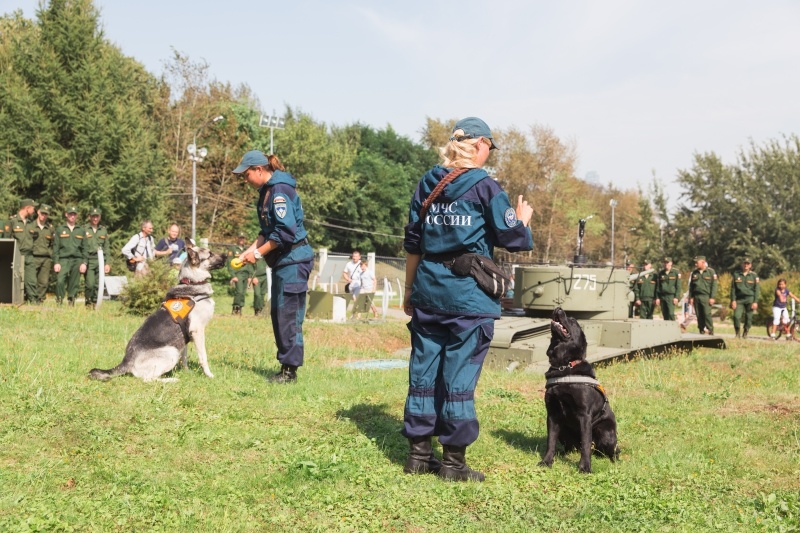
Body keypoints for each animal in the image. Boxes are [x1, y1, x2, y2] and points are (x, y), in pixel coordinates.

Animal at [90, 243, 228, 380]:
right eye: (210, 254)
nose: (227, 255)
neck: (192, 282)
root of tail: (126, 361)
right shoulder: (197, 331)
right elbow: (203, 357)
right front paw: (209, 375)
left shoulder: (185, 337)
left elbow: (184, 358)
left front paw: (187, 372)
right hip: (171, 351)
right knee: (148, 379)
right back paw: (171, 380)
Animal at [536, 306, 620, 472]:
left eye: (573, 320)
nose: (558, 308)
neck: (564, 366)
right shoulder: (552, 415)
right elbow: (550, 441)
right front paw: (547, 461)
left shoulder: (584, 415)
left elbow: (586, 444)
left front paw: (585, 468)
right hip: (564, 430)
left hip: (605, 432)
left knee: (610, 450)